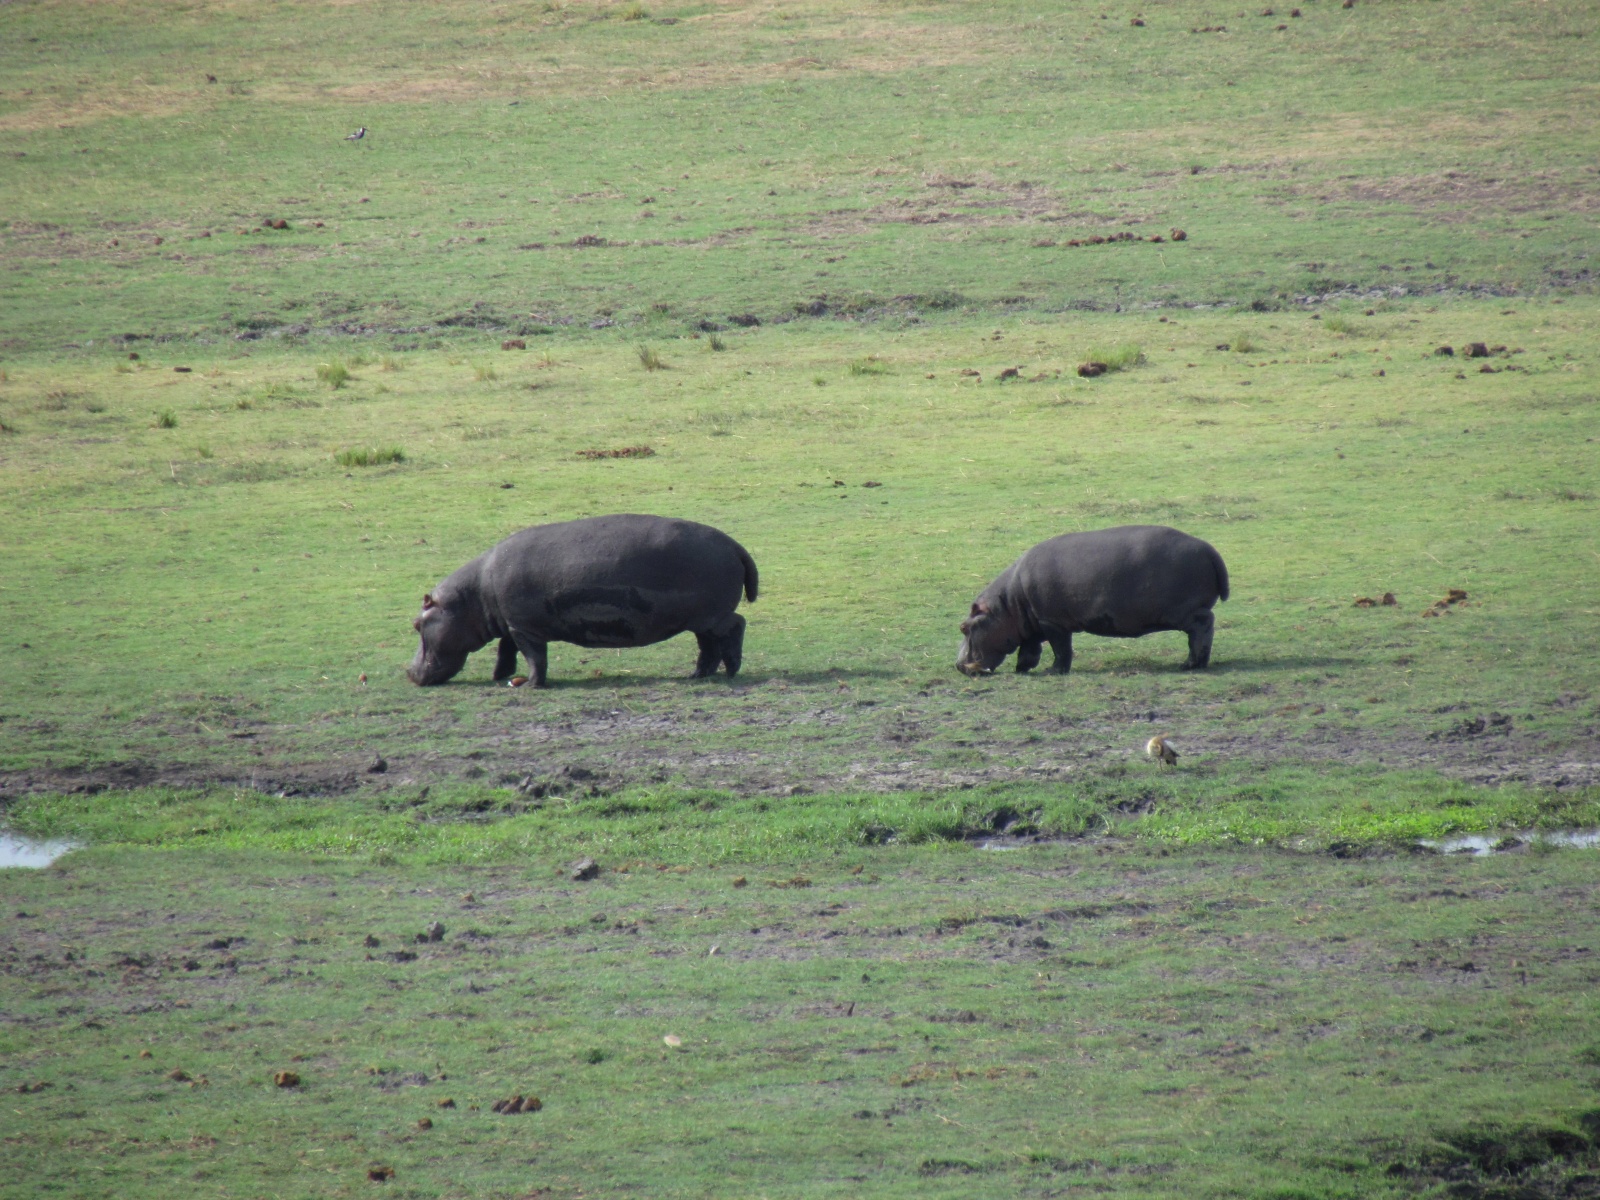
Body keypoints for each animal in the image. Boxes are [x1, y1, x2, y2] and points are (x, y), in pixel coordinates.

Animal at [406, 514, 758, 687]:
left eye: (416, 625)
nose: (409, 673)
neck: (471, 597)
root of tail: (735, 545)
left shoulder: (524, 629)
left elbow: (534, 656)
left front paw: (532, 685)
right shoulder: (511, 624)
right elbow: (506, 650)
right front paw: (500, 676)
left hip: (712, 615)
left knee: (736, 626)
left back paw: (730, 671)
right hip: (700, 620)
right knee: (708, 646)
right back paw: (698, 676)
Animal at [957, 525, 1228, 676]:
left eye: (964, 627)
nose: (958, 665)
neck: (1006, 605)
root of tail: (1210, 549)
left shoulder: (1052, 622)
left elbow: (1061, 649)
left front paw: (1053, 671)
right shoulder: (1032, 624)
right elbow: (1029, 649)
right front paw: (1022, 669)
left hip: (1183, 612)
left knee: (1203, 625)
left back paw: (1190, 664)